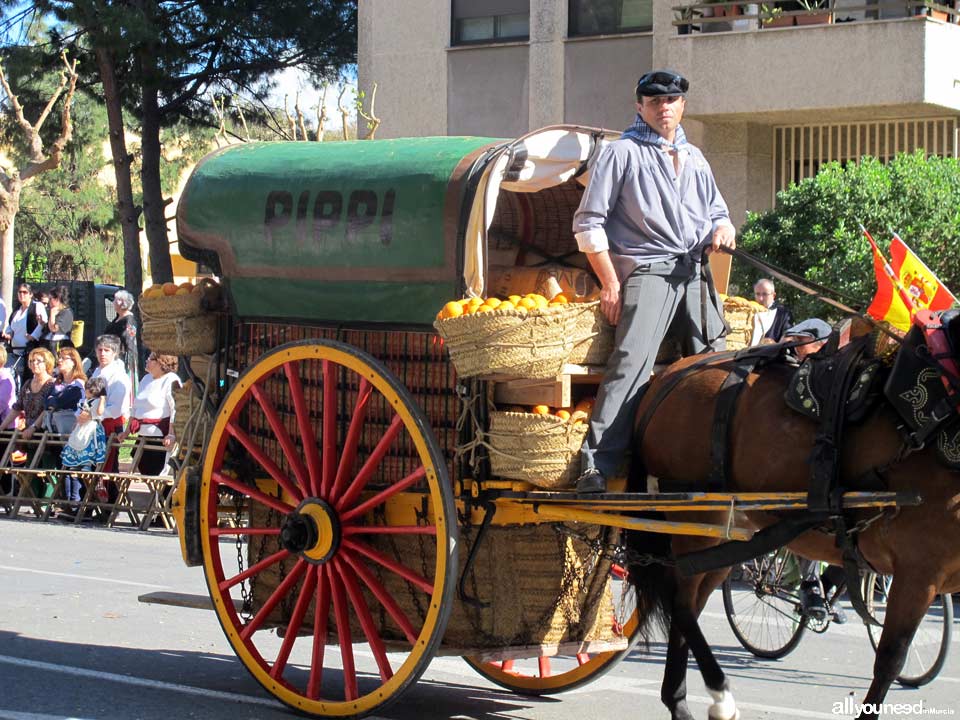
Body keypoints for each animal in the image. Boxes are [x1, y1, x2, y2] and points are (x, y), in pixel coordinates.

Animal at [624, 348, 960, 716]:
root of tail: (673, 373)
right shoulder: (919, 573)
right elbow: (890, 661)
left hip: (727, 532)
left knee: (689, 606)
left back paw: (679, 701)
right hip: (697, 518)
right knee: (680, 602)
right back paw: (716, 692)